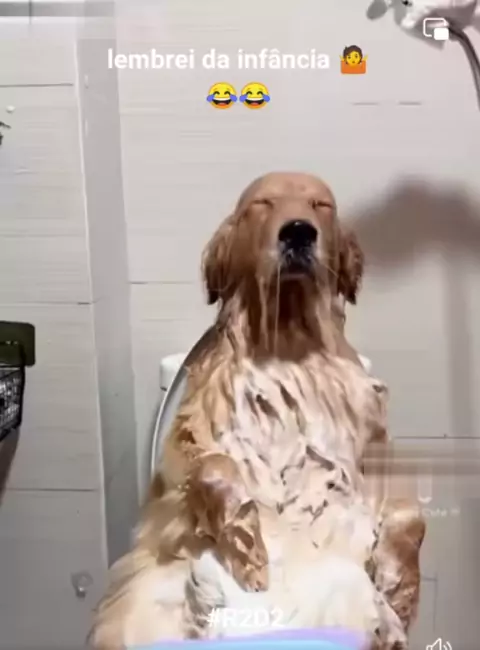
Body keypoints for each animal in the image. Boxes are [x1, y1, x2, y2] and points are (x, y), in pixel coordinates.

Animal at [90, 172, 425, 649]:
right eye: (262, 204)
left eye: (321, 204)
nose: (298, 231)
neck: (288, 342)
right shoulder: (184, 446)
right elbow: (214, 467)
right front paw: (246, 543)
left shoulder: (377, 449)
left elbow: (409, 515)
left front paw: (401, 587)